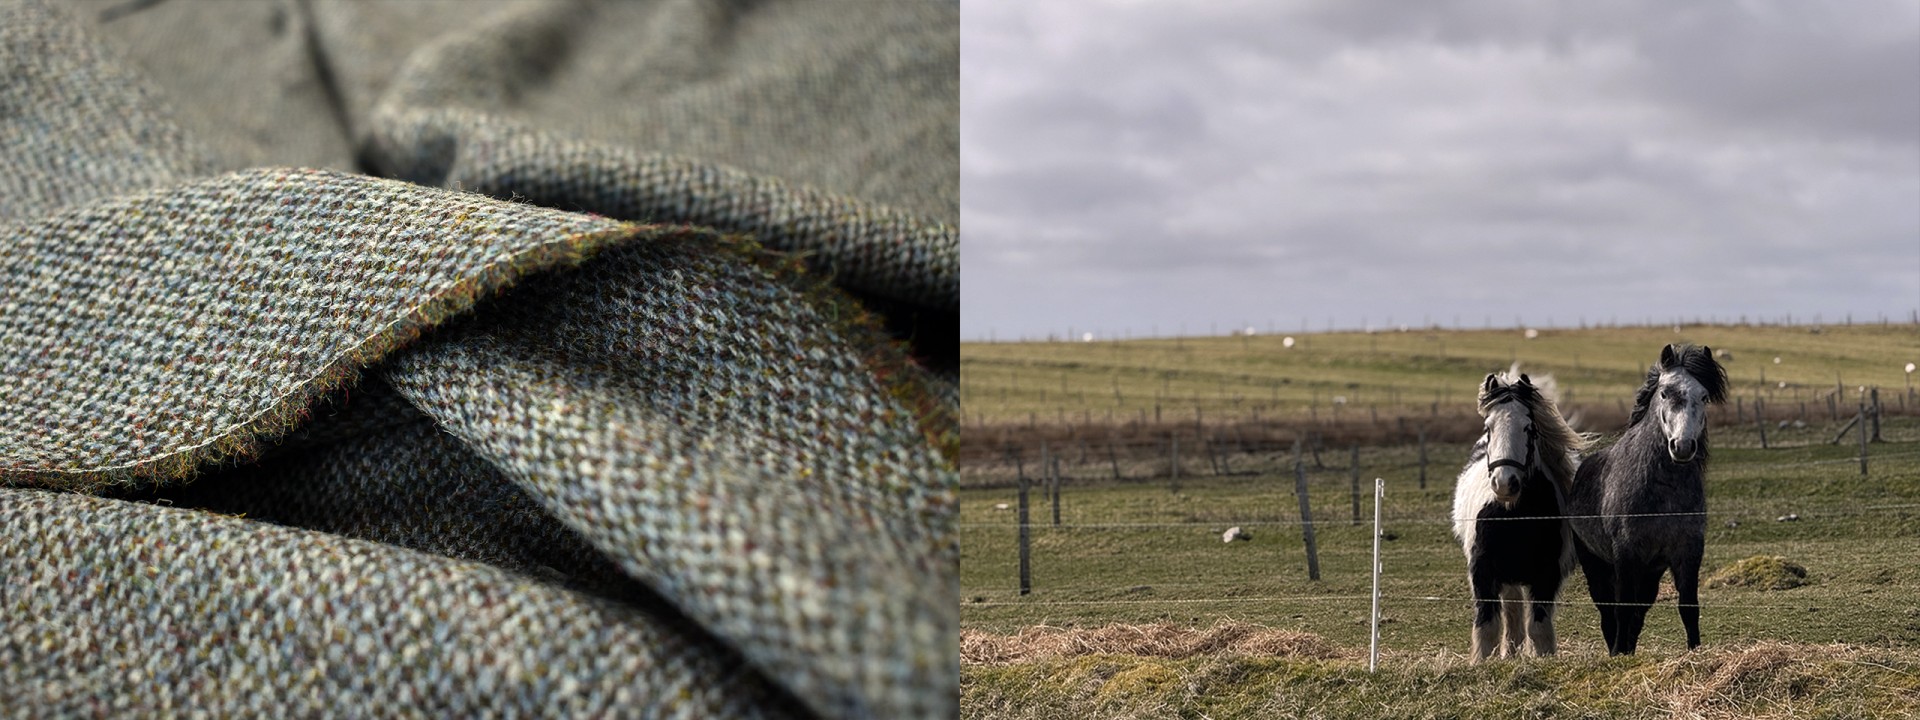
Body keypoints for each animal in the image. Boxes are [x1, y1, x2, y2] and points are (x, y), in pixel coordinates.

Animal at [1451, 371, 1588, 662]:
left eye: (1529, 428)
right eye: (1488, 428)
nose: (1505, 483)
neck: (1513, 519)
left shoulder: (1547, 574)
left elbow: (1539, 628)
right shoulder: (1482, 571)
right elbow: (1487, 628)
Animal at [1567, 343, 1728, 654]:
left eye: (1703, 396)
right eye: (1665, 393)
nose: (1682, 446)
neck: (1664, 492)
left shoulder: (1688, 551)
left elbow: (1688, 607)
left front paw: (1695, 651)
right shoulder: (1626, 554)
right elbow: (1622, 609)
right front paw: (1619, 654)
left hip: (1650, 572)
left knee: (1638, 612)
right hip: (1595, 562)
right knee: (1608, 610)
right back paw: (1616, 648)